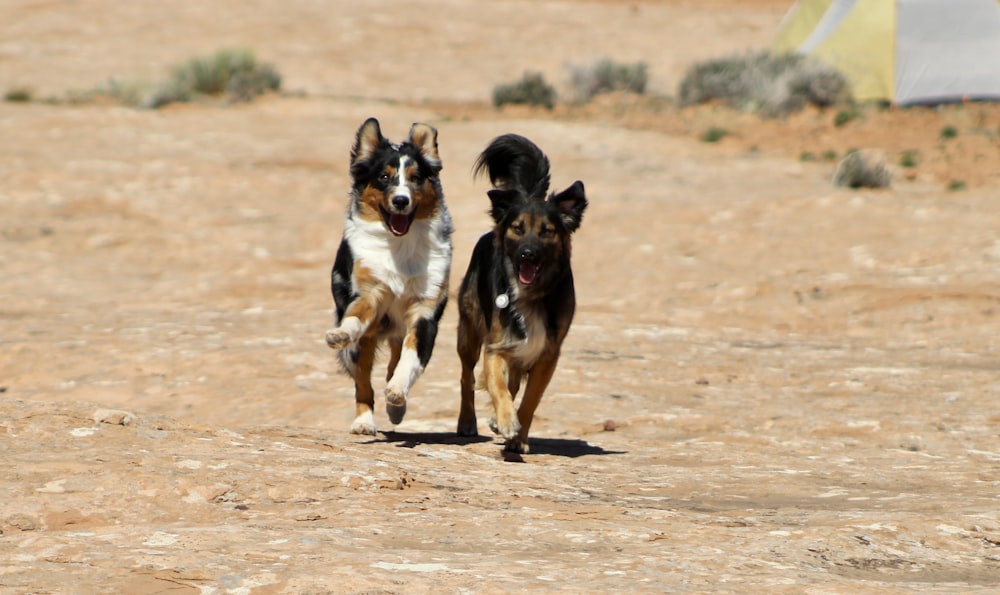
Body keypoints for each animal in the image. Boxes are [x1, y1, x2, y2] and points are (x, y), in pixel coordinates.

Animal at [328, 118, 454, 438]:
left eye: (415, 177)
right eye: (384, 177)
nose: (400, 200)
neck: (400, 246)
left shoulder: (424, 313)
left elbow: (409, 361)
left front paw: (397, 392)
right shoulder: (370, 293)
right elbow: (355, 319)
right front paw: (341, 332)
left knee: (392, 365)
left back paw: (396, 408)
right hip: (365, 341)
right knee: (363, 383)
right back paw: (363, 422)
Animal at [456, 134, 584, 452]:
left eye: (547, 231)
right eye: (517, 228)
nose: (527, 254)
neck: (531, 295)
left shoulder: (547, 355)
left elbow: (530, 400)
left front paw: (517, 435)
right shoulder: (497, 346)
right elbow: (497, 387)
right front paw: (505, 421)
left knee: (511, 385)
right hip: (469, 332)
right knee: (467, 377)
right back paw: (468, 422)